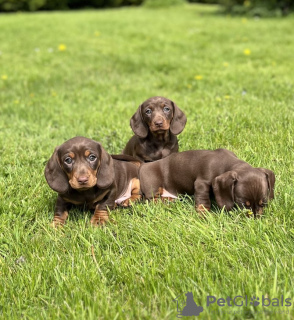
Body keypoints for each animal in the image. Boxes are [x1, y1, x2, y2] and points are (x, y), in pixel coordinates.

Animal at [139, 149, 274, 216]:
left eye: (263, 203)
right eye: (243, 204)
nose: (255, 217)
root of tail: (142, 167)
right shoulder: (201, 183)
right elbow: (203, 201)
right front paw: (204, 214)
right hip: (153, 187)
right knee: (151, 199)